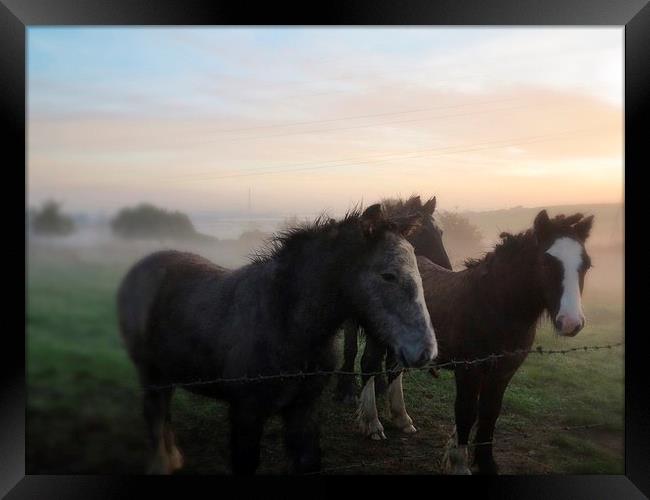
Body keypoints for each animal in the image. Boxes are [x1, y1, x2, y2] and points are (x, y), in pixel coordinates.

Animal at [119, 205, 438, 474]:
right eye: (387, 275)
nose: (425, 350)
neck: (285, 323)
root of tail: (142, 266)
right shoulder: (245, 413)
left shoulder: (303, 409)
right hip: (149, 374)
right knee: (155, 415)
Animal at [334, 195, 450, 438]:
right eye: (421, 233)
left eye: (441, 232)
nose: (446, 269)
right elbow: (365, 359)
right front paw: (370, 420)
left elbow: (394, 364)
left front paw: (400, 415)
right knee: (351, 350)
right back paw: (347, 388)